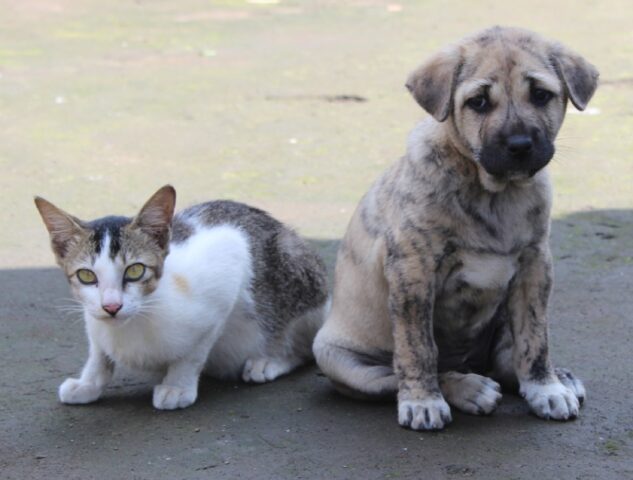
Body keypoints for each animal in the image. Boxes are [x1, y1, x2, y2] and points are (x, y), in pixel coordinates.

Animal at [34, 186, 328, 410]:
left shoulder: (228, 267)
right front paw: (88, 383)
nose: (112, 306)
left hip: (297, 274)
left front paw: (177, 385)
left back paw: (271, 360)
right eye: (86, 276)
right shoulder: (93, 318)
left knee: (304, 346)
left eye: (135, 270)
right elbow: (98, 352)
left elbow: (194, 352)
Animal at [314, 27, 600, 432]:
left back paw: (557, 377)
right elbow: (418, 348)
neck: (493, 193)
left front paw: (545, 387)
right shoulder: (413, 271)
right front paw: (423, 401)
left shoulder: (535, 265)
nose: (519, 145)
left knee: (506, 359)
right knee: (402, 373)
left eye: (541, 95)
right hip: (340, 359)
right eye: (477, 102)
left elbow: (535, 337)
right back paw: (468, 389)